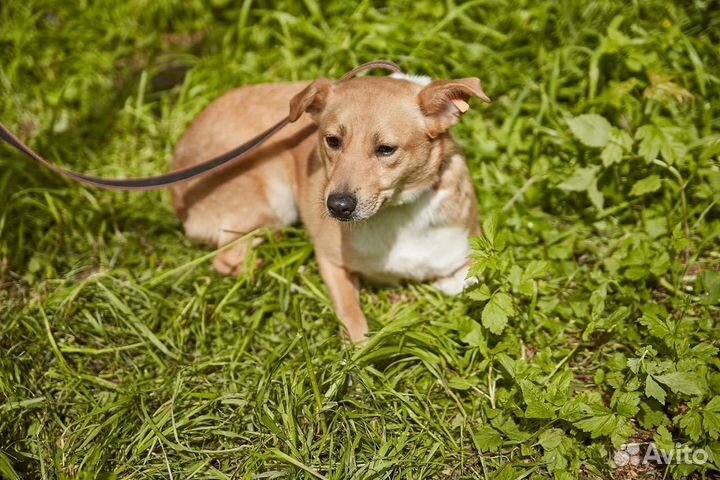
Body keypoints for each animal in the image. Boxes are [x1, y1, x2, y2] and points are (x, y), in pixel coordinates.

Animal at [172, 70, 492, 342]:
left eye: (386, 149)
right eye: (333, 140)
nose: (338, 206)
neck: (396, 213)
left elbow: (471, 279)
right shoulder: (331, 261)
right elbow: (351, 315)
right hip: (270, 204)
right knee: (229, 258)